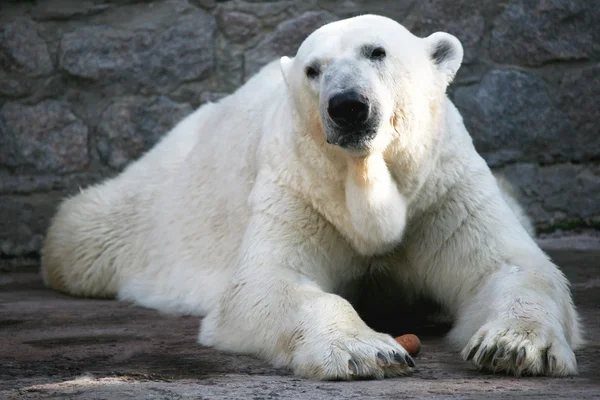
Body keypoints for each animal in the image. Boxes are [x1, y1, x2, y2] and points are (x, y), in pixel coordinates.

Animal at [41, 14, 580, 380]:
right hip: (157, 197)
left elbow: (507, 266)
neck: (368, 183)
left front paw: (513, 347)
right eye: (313, 70)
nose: (347, 106)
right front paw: (368, 350)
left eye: (376, 52)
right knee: (82, 235)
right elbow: (267, 282)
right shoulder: (301, 190)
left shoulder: (440, 190)